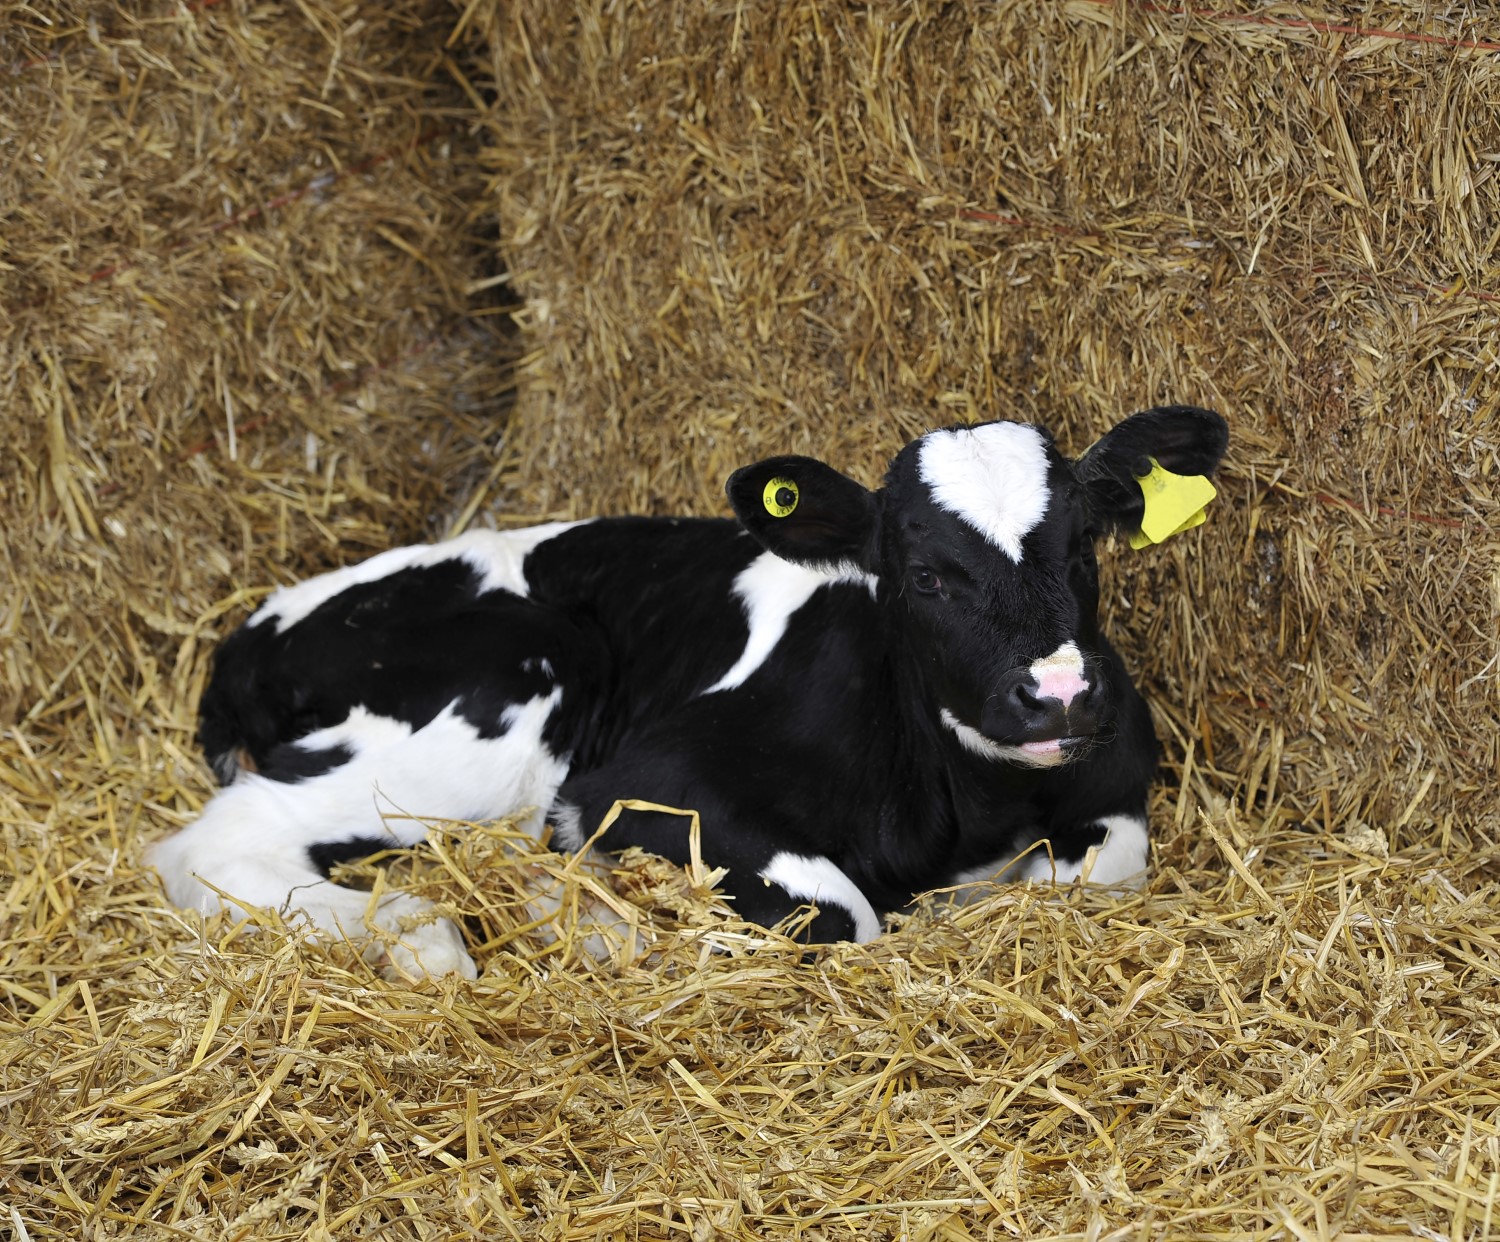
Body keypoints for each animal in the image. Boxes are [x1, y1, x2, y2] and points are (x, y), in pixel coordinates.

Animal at [149, 405, 1228, 978]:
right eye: (924, 575)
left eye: (1083, 547)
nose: (1058, 694)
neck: (973, 809)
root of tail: (252, 632)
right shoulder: (642, 784)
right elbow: (845, 909)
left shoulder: (1111, 790)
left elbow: (1102, 863)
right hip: (508, 693)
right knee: (209, 848)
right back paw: (447, 936)